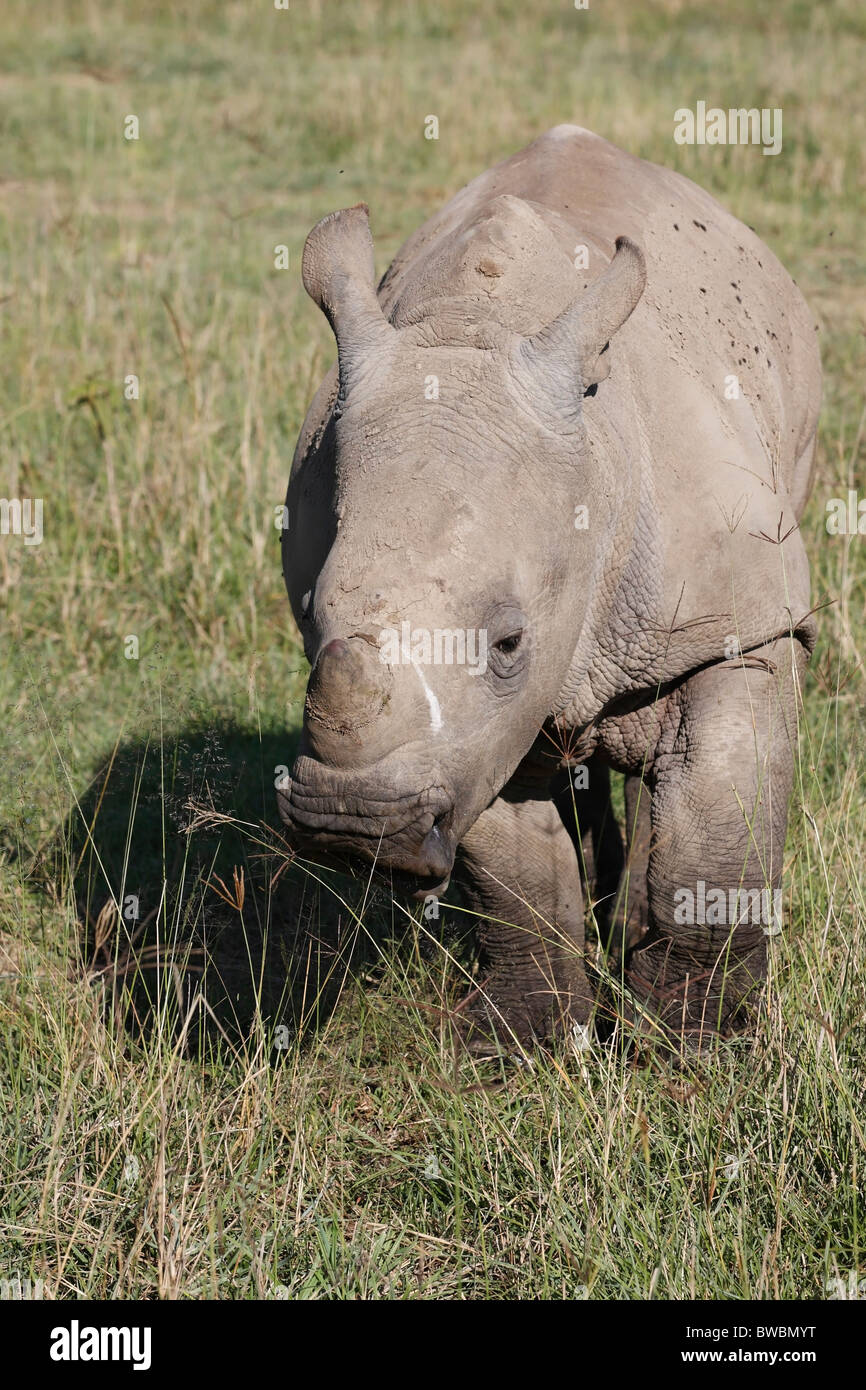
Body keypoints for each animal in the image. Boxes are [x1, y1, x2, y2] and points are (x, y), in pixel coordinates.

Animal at [278, 127, 817, 1050]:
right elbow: (514, 866)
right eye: (310, 619)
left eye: (509, 642)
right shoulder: (471, 738)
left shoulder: (736, 624)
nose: (353, 828)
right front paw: (522, 1043)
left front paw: (695, 1046)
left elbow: (715, 835)